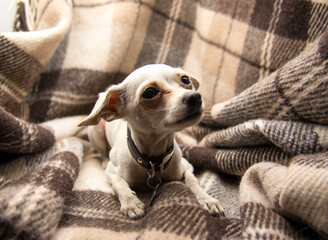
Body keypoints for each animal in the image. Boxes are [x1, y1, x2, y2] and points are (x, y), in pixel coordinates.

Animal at [78, 64, 224, 219]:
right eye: (149, 93)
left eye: (185, 80)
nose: (195, 97)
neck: (154, 160)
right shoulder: (111, 172)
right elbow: (119, 183)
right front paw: (131, 203)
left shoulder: (187, 166)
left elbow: (193, 180)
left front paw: (207, 199)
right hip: (95, 132)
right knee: (103, 152)